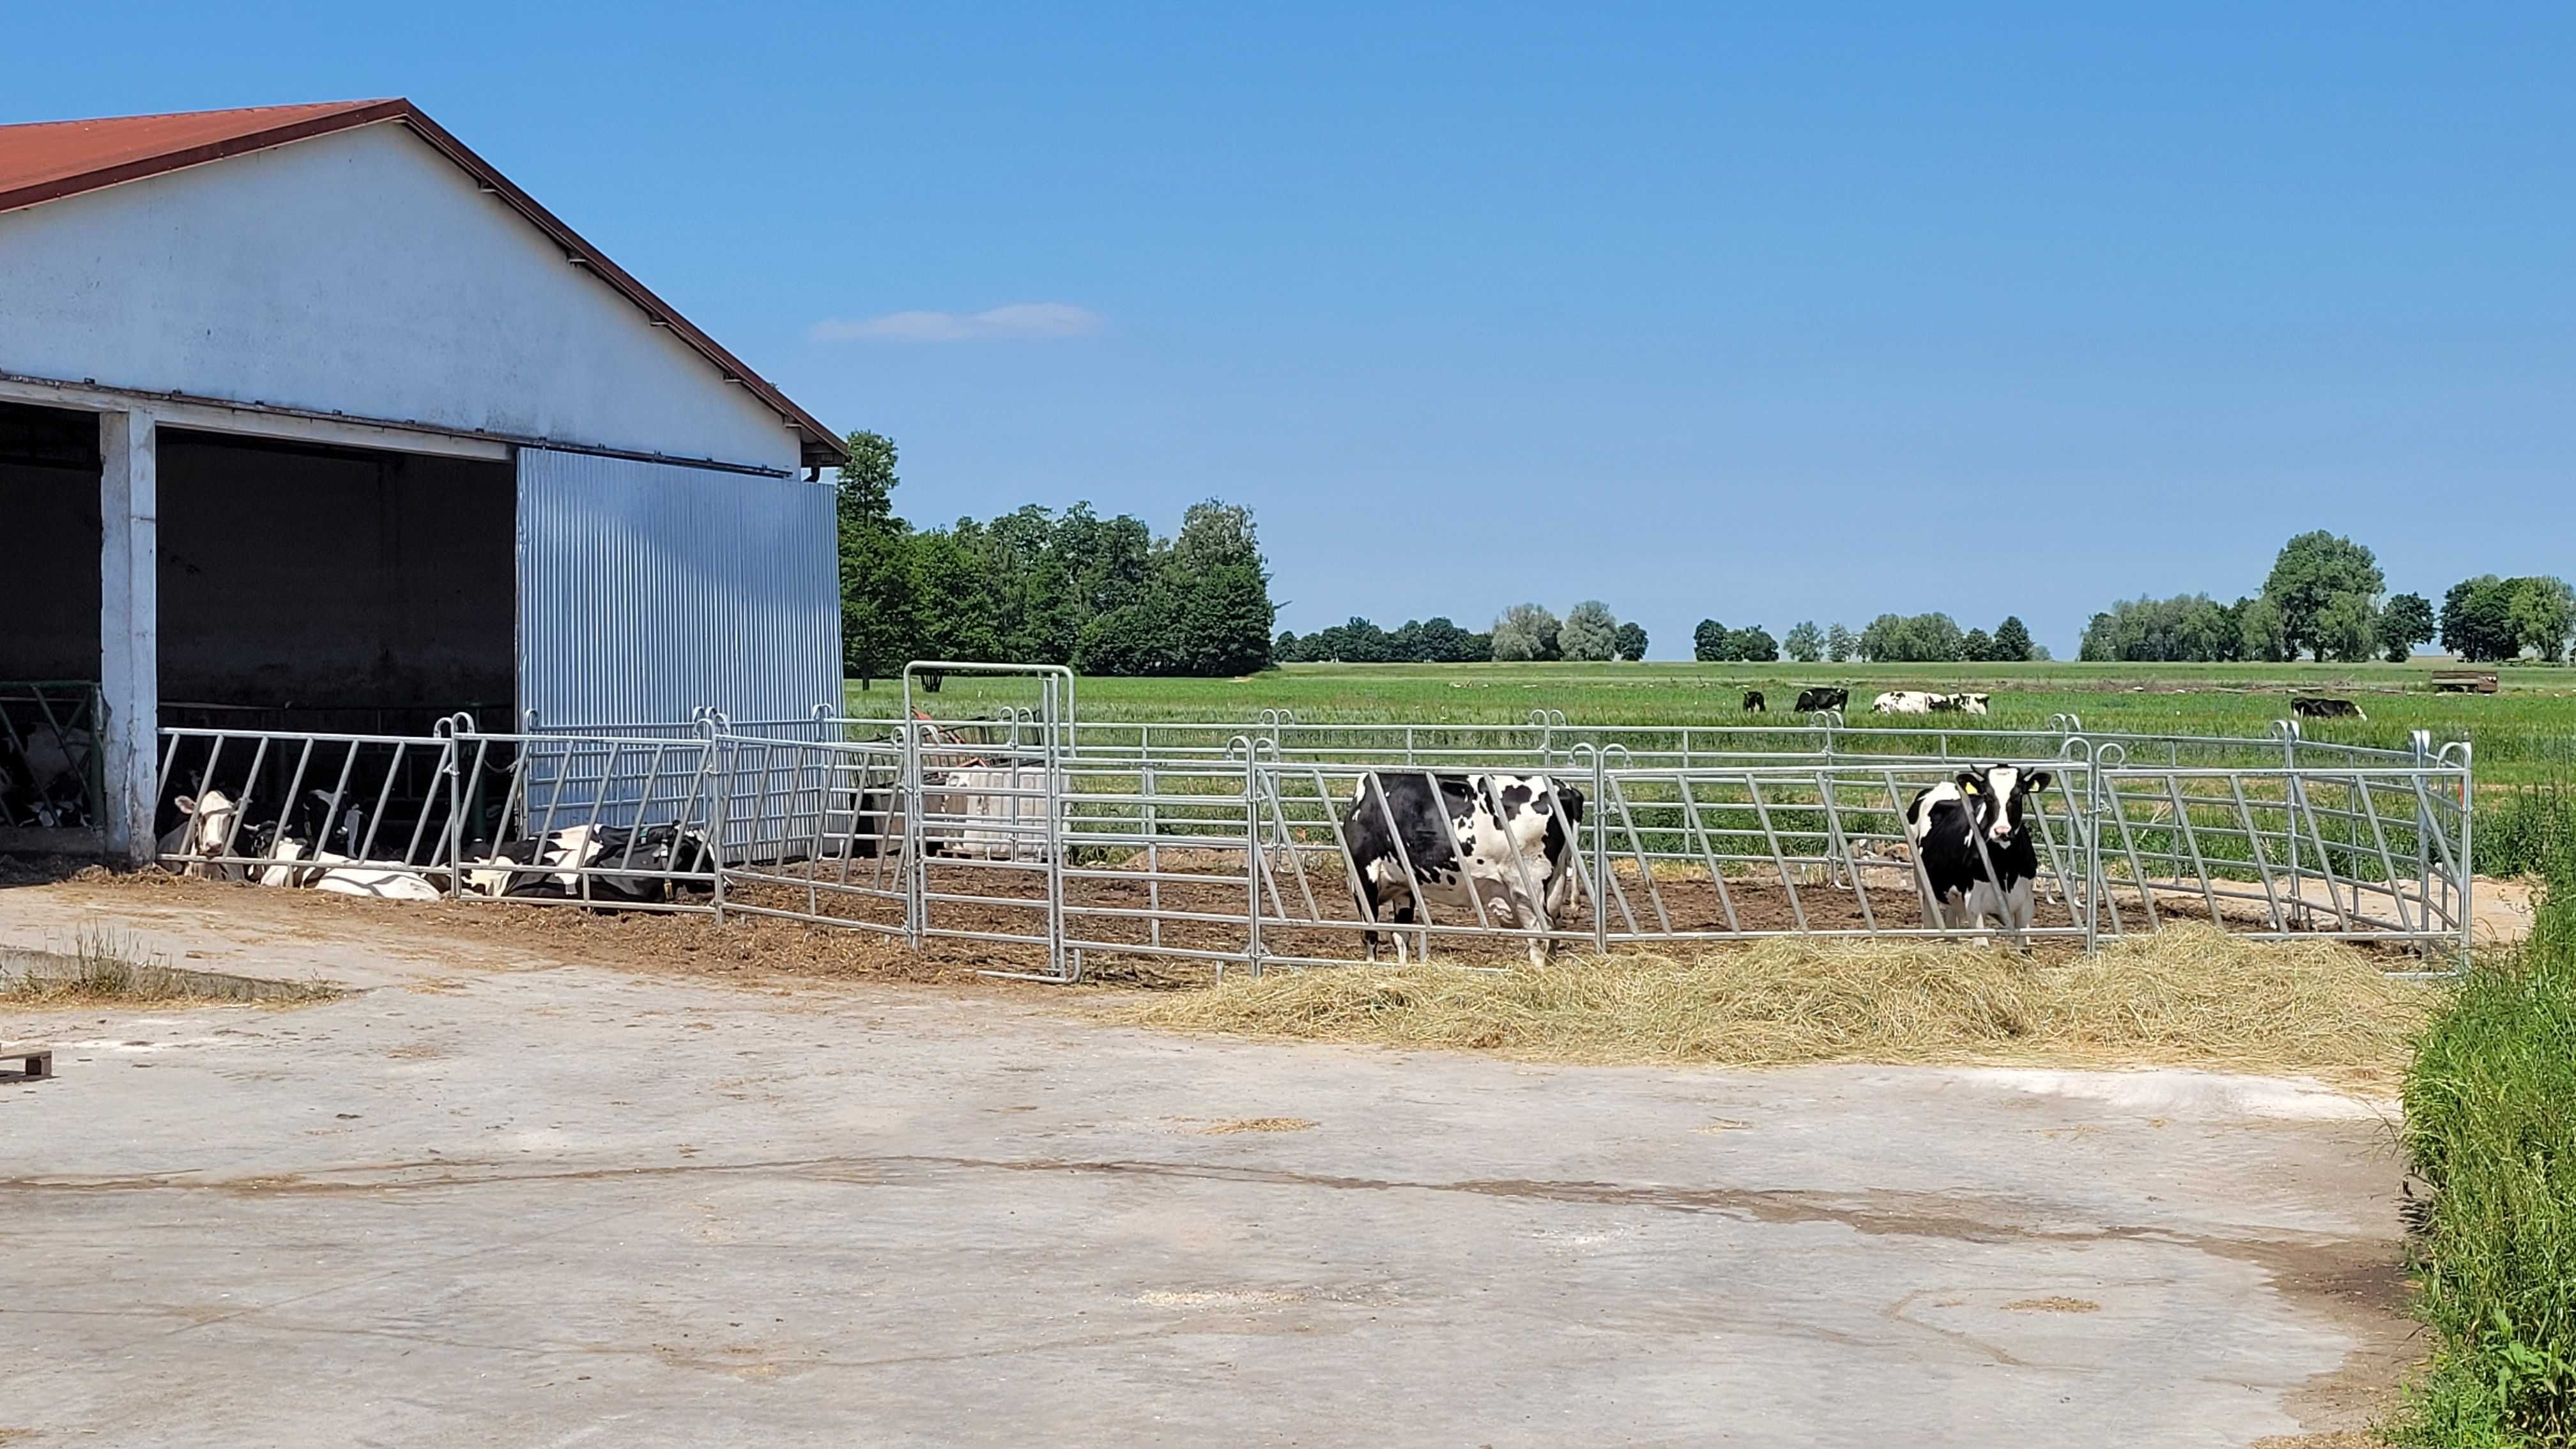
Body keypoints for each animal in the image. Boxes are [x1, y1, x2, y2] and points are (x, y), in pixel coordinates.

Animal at [1349, 773, 1586, 964]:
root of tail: (1566, 788)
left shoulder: (1364, 876)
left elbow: (1370, 935)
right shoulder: (1404, 887)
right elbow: (1401, 935)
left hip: (1526, 886)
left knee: (1539, 935)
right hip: (1554, 885)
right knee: (1554, 931)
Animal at [1896, 763, 2050, 944]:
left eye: (2018, 795)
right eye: (1987, 795)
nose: (2002, 831)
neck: (2005, 866)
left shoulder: (2026, 902)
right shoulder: (1973, 902)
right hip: (1922, 882)